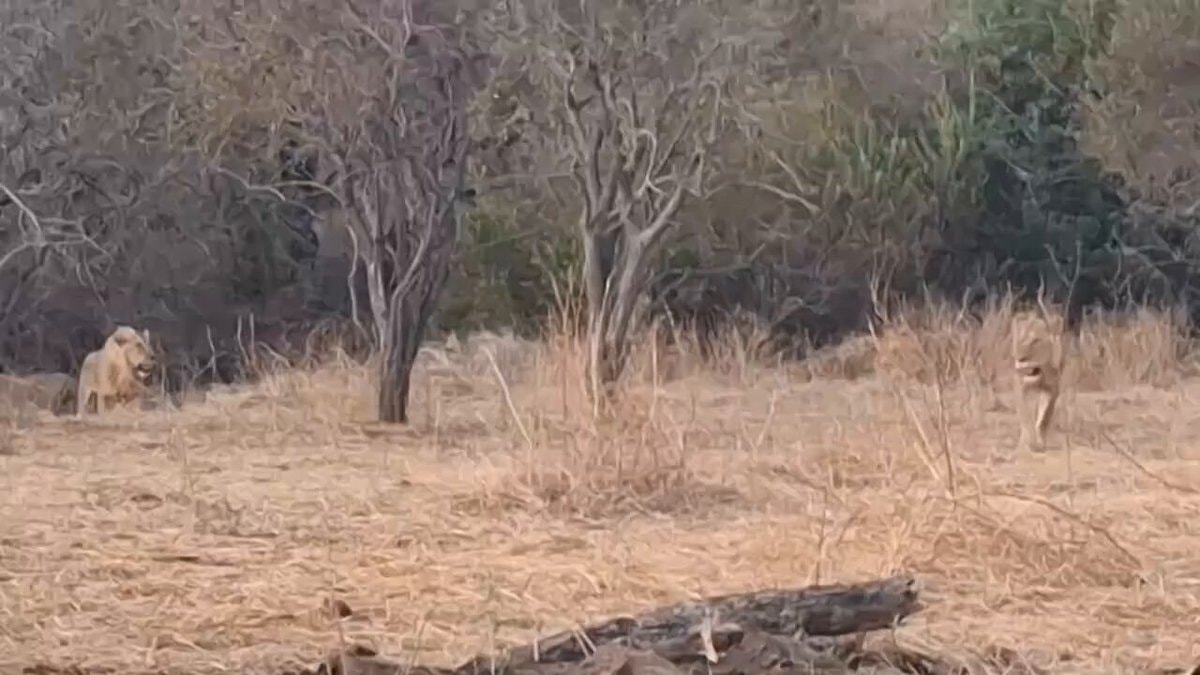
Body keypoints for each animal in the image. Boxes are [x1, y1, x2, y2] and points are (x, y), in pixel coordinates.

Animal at [1012, 307, 1067, 451]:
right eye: (1020, 340)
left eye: (1036, 341)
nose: (1020, 359)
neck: (1042, 371)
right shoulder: (1020, 387)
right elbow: (1026, 416)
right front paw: (1027, 442)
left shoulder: (1052, 389)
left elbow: (1044, 418)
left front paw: (1041, 442)